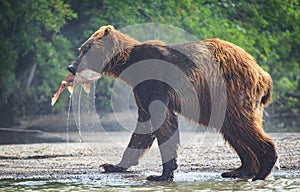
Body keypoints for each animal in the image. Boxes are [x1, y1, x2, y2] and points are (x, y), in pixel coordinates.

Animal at [67, 24, 278, 181]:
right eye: (81, 49)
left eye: (87, 49)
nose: (71, 66)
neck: (129, 65)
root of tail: (262, 73)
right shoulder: (141, 89)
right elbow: (145, 125)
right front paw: (113, 165)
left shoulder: (154, 79)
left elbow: (161, 120)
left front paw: (160, 174)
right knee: (232, 129)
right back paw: (239, 170)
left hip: (230, 89)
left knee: (241, 124)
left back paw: (262, 170)